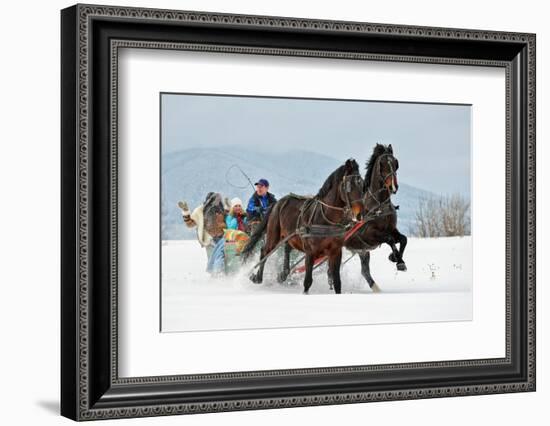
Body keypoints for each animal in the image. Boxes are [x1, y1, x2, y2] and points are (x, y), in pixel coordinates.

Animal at [243, 158, 366, 294]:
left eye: (362, 184)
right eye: (349, 185)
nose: (361, 214)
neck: (326, 218)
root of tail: (277, 203)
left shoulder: (335, 252)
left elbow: (337, 282)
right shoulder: (310, 253)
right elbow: (307, 281)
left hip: (291, 235)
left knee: (287, 248)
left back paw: (283, 273)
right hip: (273, 234)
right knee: (265, 251)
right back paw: (257, 277)